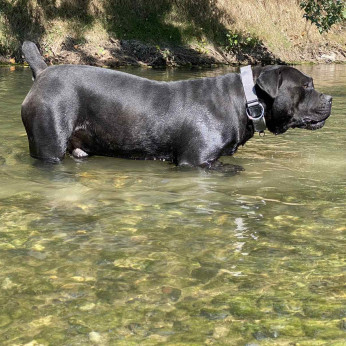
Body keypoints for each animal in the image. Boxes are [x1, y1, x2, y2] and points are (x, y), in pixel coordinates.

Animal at [21, 41, 332, 168]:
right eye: (306, 85)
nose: (330, 99)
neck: (244, 99)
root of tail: (43, 72)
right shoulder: (195, 161)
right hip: (49, 144)